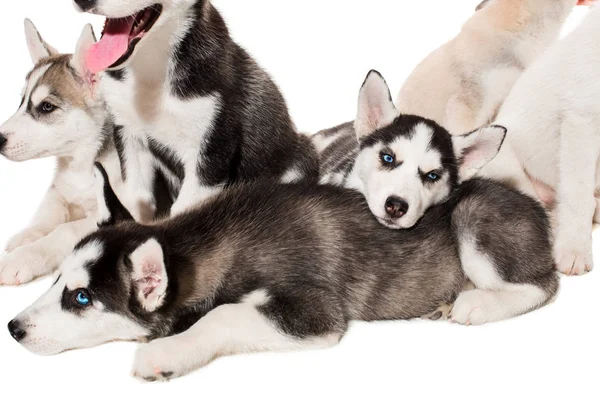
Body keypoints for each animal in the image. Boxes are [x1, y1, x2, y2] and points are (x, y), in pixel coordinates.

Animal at [0, 21, 171, 286]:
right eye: (21, 101)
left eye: (46, 107)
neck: (80, 165)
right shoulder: (59, 191)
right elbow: (47, 214)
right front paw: (26, 236)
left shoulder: (127, 211)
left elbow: (64, 230)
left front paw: (23, 258)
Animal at [10, 148, 556, 380]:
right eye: (57, 281)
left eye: (82, 298)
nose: (13, 328)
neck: (214, 241)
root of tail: (533, 203)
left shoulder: (314, 311)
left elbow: (223, 315)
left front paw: (166, 353)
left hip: (474, 219)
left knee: (542, 286)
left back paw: (475, 304)